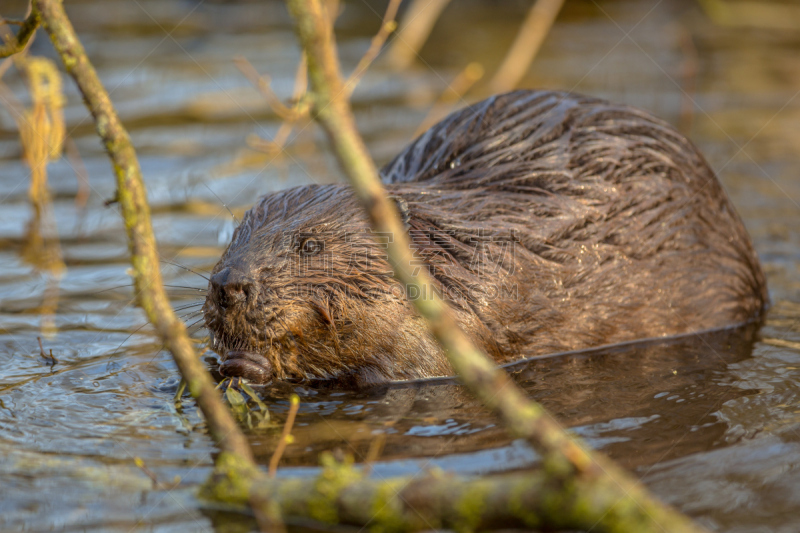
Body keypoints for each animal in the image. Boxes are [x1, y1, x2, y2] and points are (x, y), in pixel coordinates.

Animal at [202, 89, 768, 384]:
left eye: (311, 245)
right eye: (235, 234)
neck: (456, 254)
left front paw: (252, 363)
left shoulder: (463, 316)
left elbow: (410, 367)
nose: (230, 285)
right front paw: (229, 359)